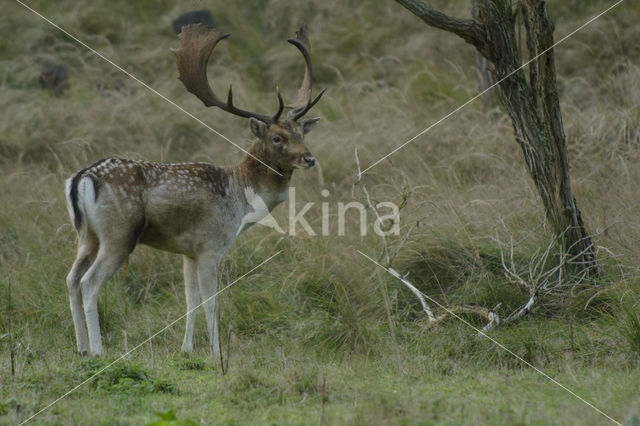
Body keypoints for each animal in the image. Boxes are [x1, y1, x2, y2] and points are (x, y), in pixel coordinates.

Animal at [65, 24, 324, 356]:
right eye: (278, 138)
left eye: (302, 132)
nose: (309, 158)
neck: (240, 200)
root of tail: (81, 179)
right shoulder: (210, 245)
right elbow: (211, 301)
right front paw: (217, 352)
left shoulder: (187, 251)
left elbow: (190, 300)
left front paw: (186, 349)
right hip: (118, 234)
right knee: (89, 282)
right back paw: (99, 350)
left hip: (86, 236)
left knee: (72, 279)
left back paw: (82, 348)